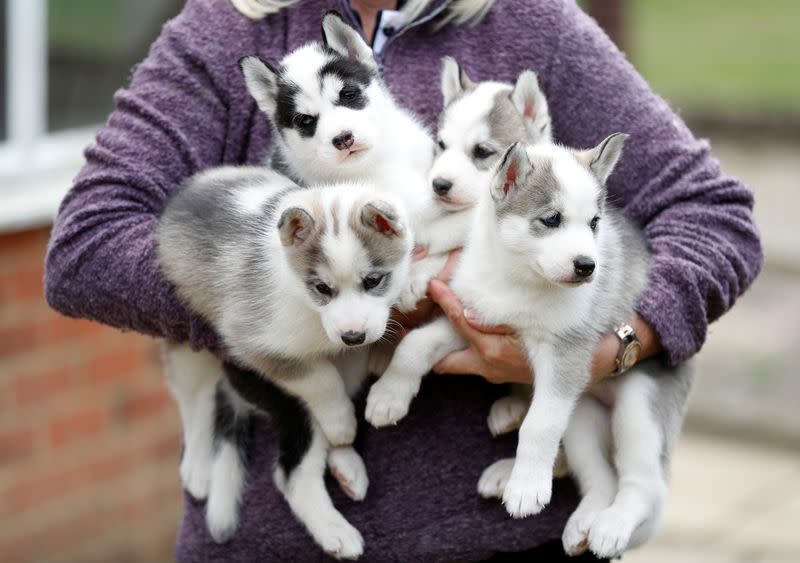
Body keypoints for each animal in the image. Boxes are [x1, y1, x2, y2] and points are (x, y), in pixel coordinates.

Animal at [155, 165, 412, 556]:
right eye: (321, 288)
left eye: (373, 281)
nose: (352, 337)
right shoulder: (257, 345)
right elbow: (321, 379)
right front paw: (340, 422)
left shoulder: (351, 351)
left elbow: (339, 377)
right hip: (189, 344)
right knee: (201, 404)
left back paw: (346, 465)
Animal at [366, 137, 692, 560]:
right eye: (551, 219)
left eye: (594, 223)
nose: (587, 266)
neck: (518, 280)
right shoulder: (471, 319)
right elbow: (415, 345)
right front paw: (388, 397)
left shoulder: (566, 354)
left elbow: (540, 425)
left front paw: (527, 489)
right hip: (582, 417)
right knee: (598, 479)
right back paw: (576, 517)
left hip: (638, 409)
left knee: (644, 486)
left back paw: (611, 525)